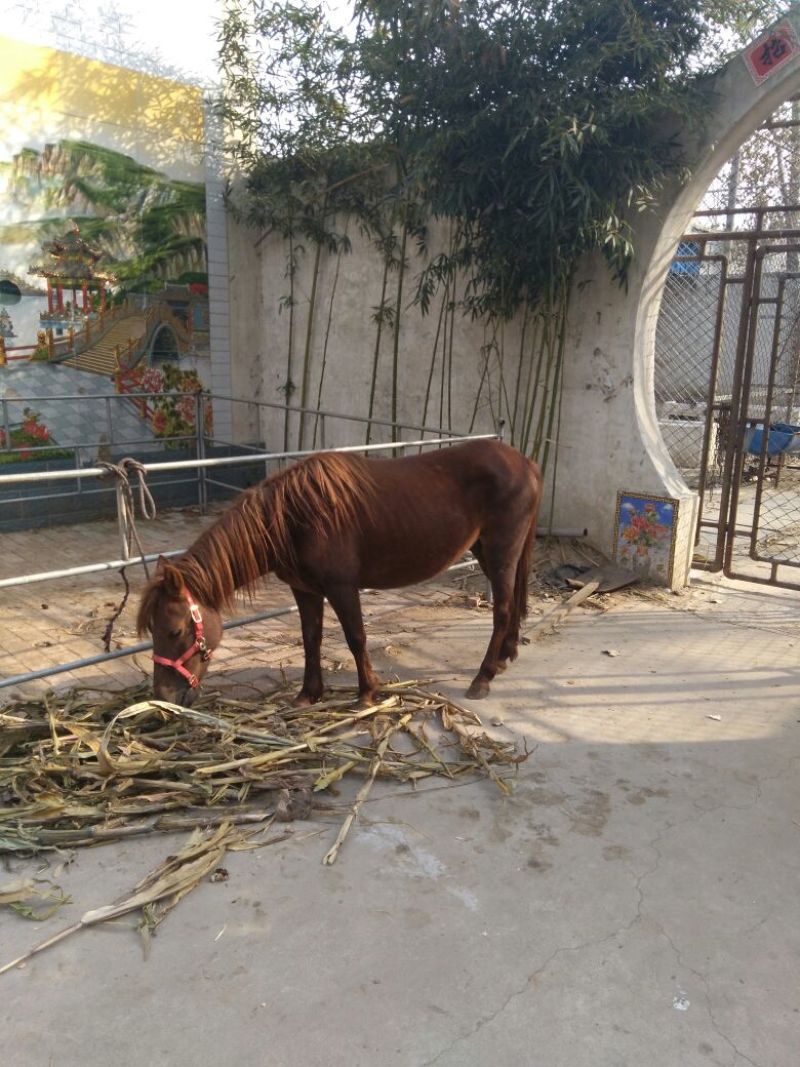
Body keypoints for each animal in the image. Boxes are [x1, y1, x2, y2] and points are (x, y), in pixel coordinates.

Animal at [137, 438, 542, 708]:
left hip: (501, 553)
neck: (294, 517)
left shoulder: (342, 587)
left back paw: (482, 678)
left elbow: (355, 638)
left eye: (174, 631)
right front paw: (308, 694)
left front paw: (367, 694)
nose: (164, 696)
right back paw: (505, 657)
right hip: (487, 552)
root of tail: (525, 462)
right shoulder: (305, 590)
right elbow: (311, 639)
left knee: (503, 609)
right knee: (513, 603)